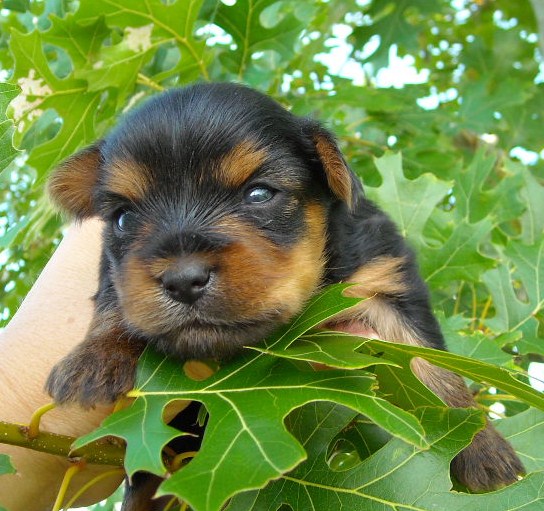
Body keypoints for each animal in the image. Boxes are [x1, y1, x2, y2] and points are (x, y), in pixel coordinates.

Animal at [46, 84, 524, 508]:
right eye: (124, 218)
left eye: (259, 193)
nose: (183, 279)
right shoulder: (114, 270)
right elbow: (114, 299)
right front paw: (94, 359)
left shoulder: (383, 278)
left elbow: (430, 365)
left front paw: (482, 448)